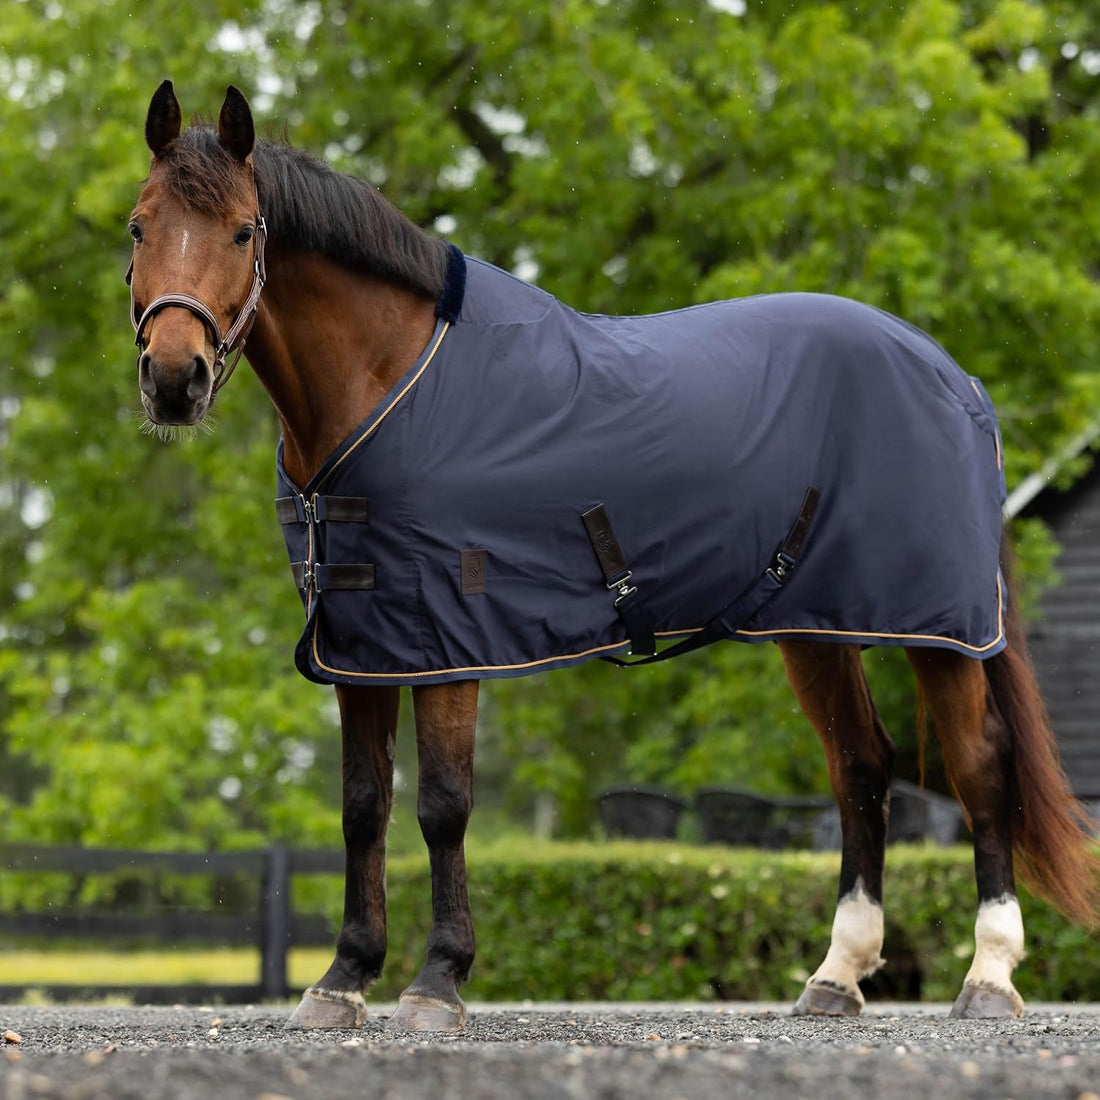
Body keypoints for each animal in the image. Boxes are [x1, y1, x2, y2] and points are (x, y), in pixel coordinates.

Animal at [125, 81, 1098, 1030]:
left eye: (243, 230)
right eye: (138, 227)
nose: (174, 380)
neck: (390, 382)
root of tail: (953, 375)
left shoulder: (448, 640)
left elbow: (443, 807)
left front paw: (438, 982)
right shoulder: (363, 644)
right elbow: (365, 809)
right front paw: (341, 980)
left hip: (941, 630)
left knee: (979, 767)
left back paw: (988, 975)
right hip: (813, 626)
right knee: (860, 767)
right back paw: (837, 976)